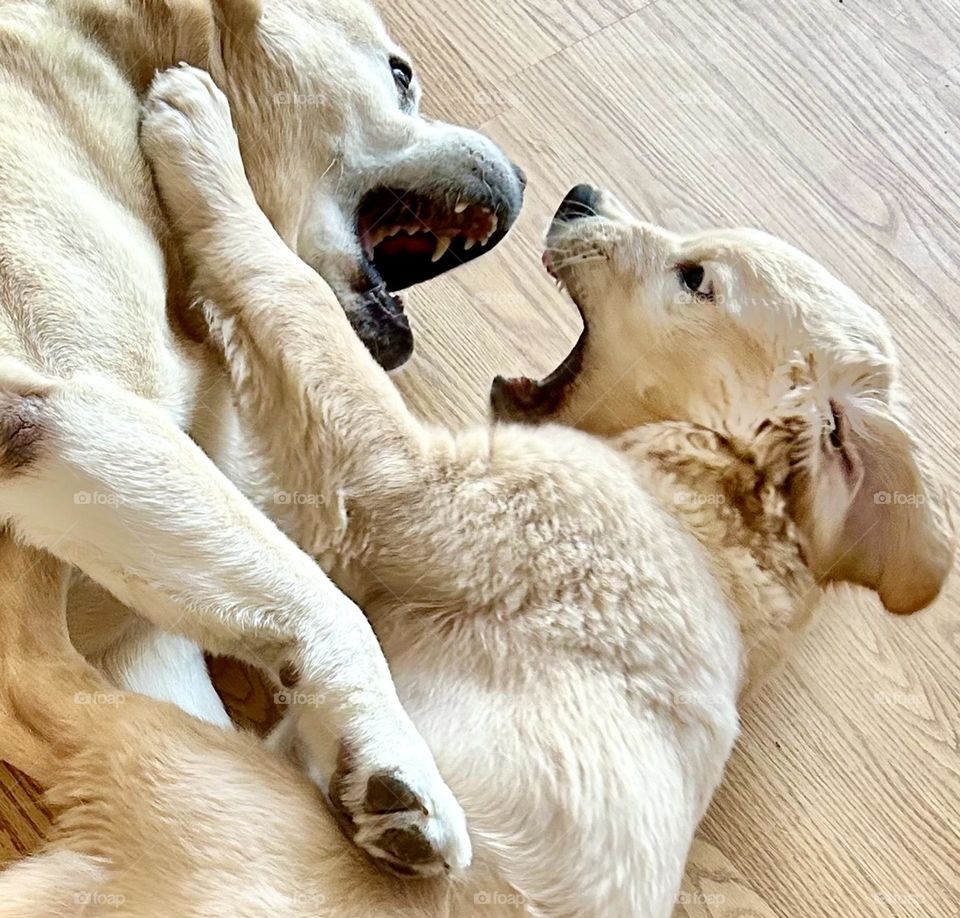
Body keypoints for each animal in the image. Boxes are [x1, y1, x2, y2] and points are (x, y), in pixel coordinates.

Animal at [0, 68, 948, 918]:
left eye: (695, 278)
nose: (577, 197)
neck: (700, 491)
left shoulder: (396, 481)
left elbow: (288, 285)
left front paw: (202, 141)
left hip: (187, 768)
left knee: (47, 662)